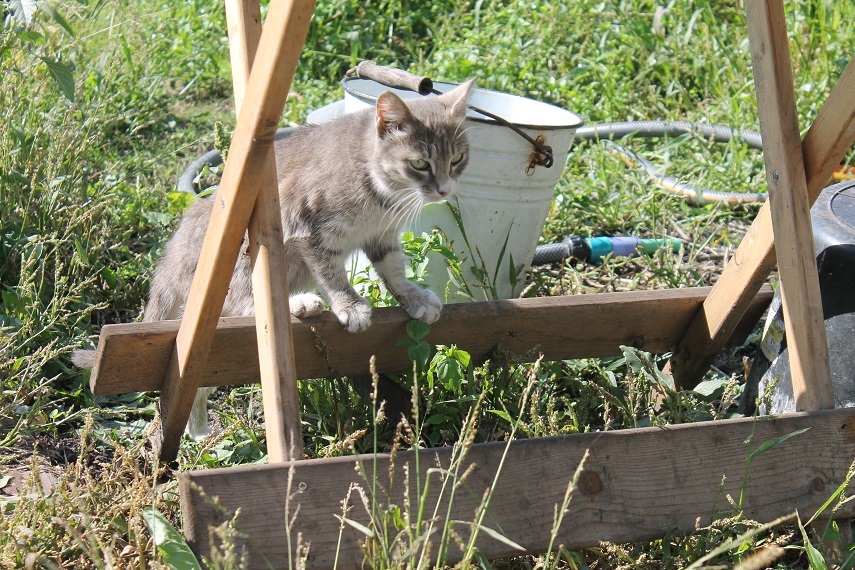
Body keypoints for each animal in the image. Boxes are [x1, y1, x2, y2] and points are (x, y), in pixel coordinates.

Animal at [72, 79, 474, 434]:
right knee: (244, 305)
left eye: (457, 159)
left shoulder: (381, 235)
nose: (445, 190)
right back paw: (297, 303)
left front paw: (413, 297)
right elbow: (332, 273)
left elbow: (393, 268)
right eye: (420, 164)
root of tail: (173, 254)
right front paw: (350, 305)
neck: (378, 187)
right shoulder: (308, 228)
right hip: (242, 250)